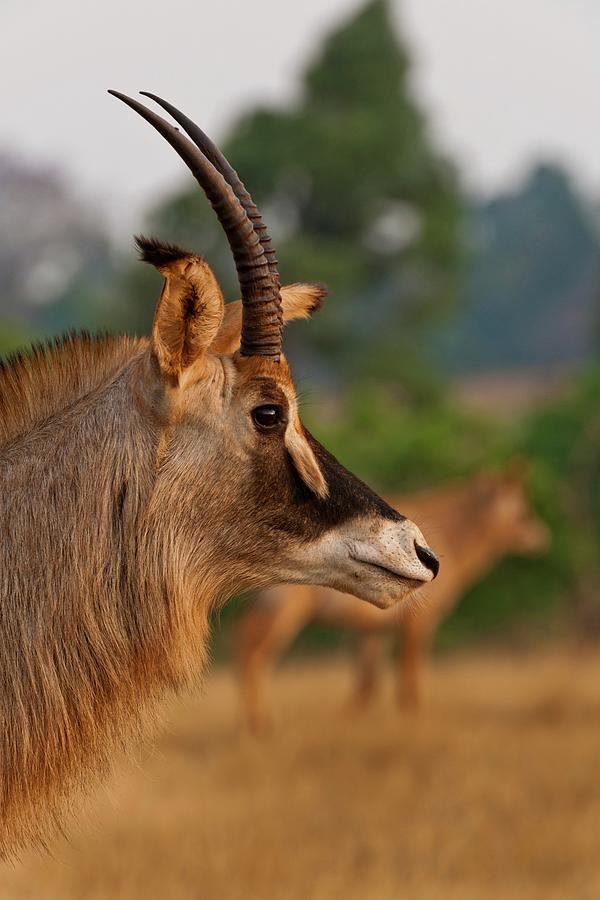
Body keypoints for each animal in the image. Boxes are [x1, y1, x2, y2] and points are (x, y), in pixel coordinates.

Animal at [236, 464, 548, 732]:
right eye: (524, 511)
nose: (542, 536)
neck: (452, 532)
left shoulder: (372, 631)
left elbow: (367, 685)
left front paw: (344, 723)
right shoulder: (417, 624)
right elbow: (409, 678)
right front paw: (413, 722)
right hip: (284, 611)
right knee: (254, 655)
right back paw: (263, 725)